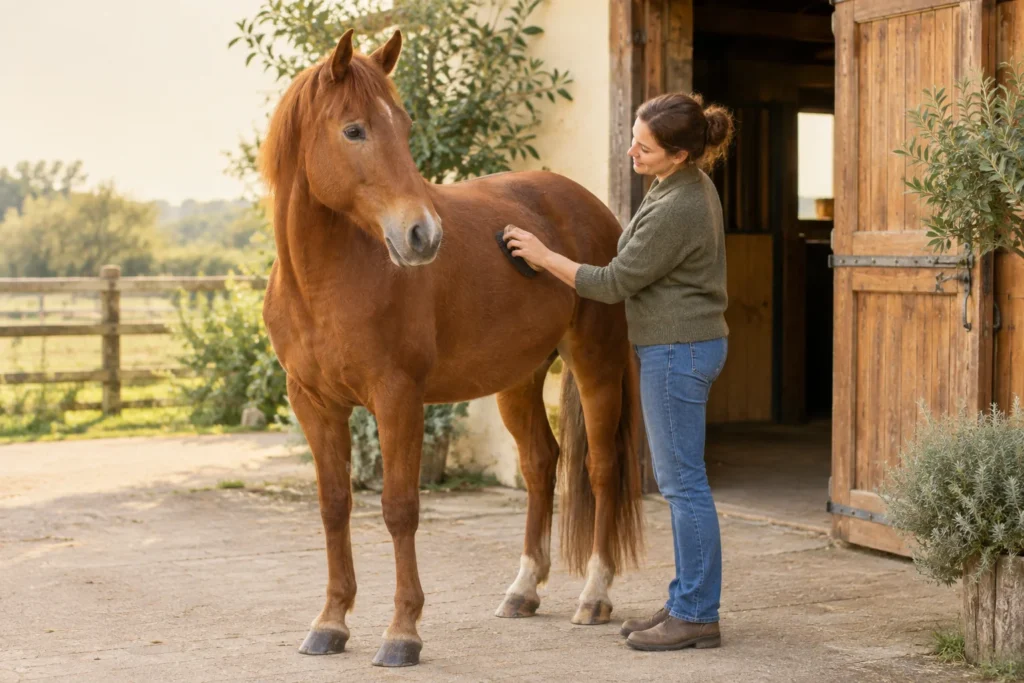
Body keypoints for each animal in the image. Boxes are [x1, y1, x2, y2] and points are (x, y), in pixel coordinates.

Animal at [260, 28, 645, 668]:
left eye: (405, 124)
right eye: (354, 130)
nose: (423, 235)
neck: (328, 280)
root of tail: (593, 208)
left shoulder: (397, 399)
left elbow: (399, 509)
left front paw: (402, 633)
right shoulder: (314, 403)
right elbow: (335, 505)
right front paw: (330, 622)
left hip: (595, 363)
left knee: (601, 469)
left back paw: (594, 595)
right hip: (518, 379)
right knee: (540, 462)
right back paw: (523, 590)